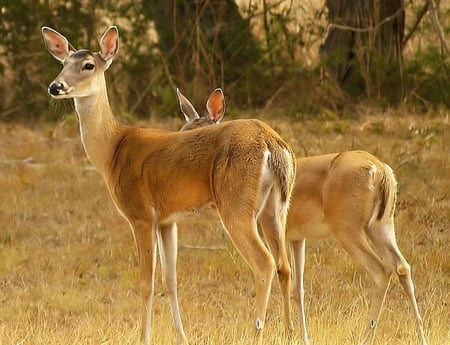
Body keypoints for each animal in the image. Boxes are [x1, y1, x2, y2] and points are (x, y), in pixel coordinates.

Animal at [41, 26, 296, 344]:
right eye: (63, 63)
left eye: (88, 65)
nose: (55, 86)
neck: (112, 151)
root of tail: (270, 142)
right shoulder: (167, 220)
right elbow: (170, 279)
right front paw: (181, 337)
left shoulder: (140, 214)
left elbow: (146, 282)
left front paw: (143, 337)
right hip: (276, 206)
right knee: (285, 265)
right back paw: (293, 333)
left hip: (236, 204)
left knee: (265, 263)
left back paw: (255, 332)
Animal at [178, 89, 428, 344]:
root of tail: (382, 171)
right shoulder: (297, 237)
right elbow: (299, 287)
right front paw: (302, 336)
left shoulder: (278, 230)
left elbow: (284, 275)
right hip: (381, 225)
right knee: (402, 266)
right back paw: (420, 334)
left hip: (347, 227)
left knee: (381, 270)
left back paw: (365, 336)